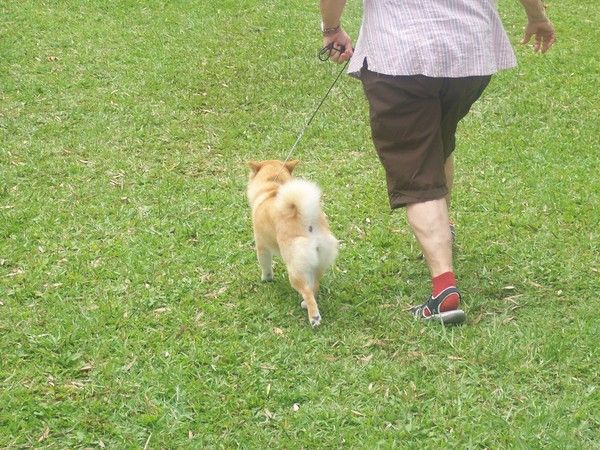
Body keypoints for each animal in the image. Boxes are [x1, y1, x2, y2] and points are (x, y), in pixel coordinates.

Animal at [247, 159, 338, 326]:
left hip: (295, 269)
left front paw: (266, 279)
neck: (272, 187)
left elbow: (265, 266)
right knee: (314, 285)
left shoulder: (262, 246)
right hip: (318, 262)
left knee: (307, 290)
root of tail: (308, 221)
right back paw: (305, 304)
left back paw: (314, 317)